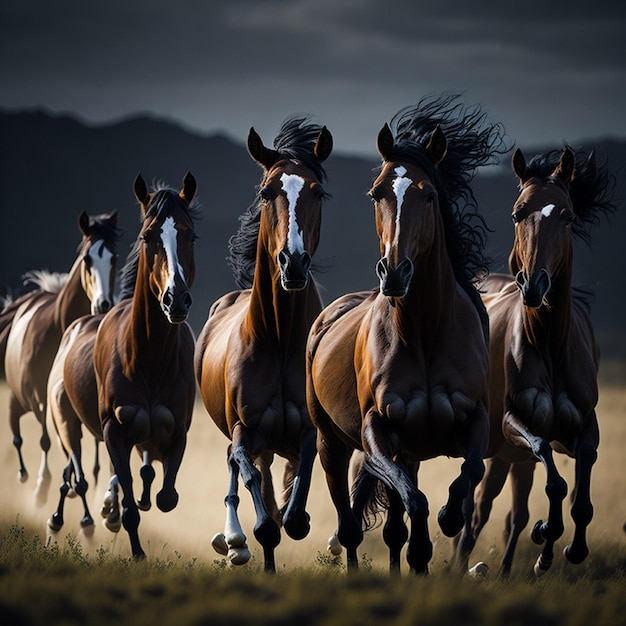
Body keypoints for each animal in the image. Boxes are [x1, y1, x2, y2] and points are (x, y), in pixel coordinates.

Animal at [4, 210, 120, 502]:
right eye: (87, 258)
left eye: (113, 257)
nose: (103, 304)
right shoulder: (39, 395)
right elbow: (47, 438)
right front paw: (42, 488)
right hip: (19, 396)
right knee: (17, 431)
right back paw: (25, 475)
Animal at [53, 172, 199, 556]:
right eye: (148, 236)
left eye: (190, 235)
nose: (175, 300)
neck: (149, 357)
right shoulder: (113, 429)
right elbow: (131, 501)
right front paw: (133, 546)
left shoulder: (177, 430)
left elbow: (166, 496)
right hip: (66, 419)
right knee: (75, 468)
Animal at [194, 117, 332, 572]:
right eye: (267, 192)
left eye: (318, 191)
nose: (293, 263)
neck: (281, 340)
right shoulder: (245, 429)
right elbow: (255, 489)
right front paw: (248, 537)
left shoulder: (307, 428)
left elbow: (302, 476)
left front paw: (298, 517)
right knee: (243, 470)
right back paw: (234, 540)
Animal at [304, 94, 504, 572]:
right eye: (376, 193)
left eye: (428, 194)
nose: (395, 272)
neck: (425, 334)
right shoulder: (379, 431)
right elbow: (411, 501)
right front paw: (434, 528)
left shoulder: (475, 419)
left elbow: (468, 472)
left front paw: (451, 517)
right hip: (331, 443)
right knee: (351, 521)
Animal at [450, 145, 616, 576]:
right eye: (517, 213)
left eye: (568, 215)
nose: (534, 284)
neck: (551, 345)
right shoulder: (514, 425)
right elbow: (552, 475)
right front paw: (547, 539)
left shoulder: (584, 428)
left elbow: (579, 488)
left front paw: (567, 549)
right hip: (499, 449)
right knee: (477, 511)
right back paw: (462, 562)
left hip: (506, 458)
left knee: (504, 514)